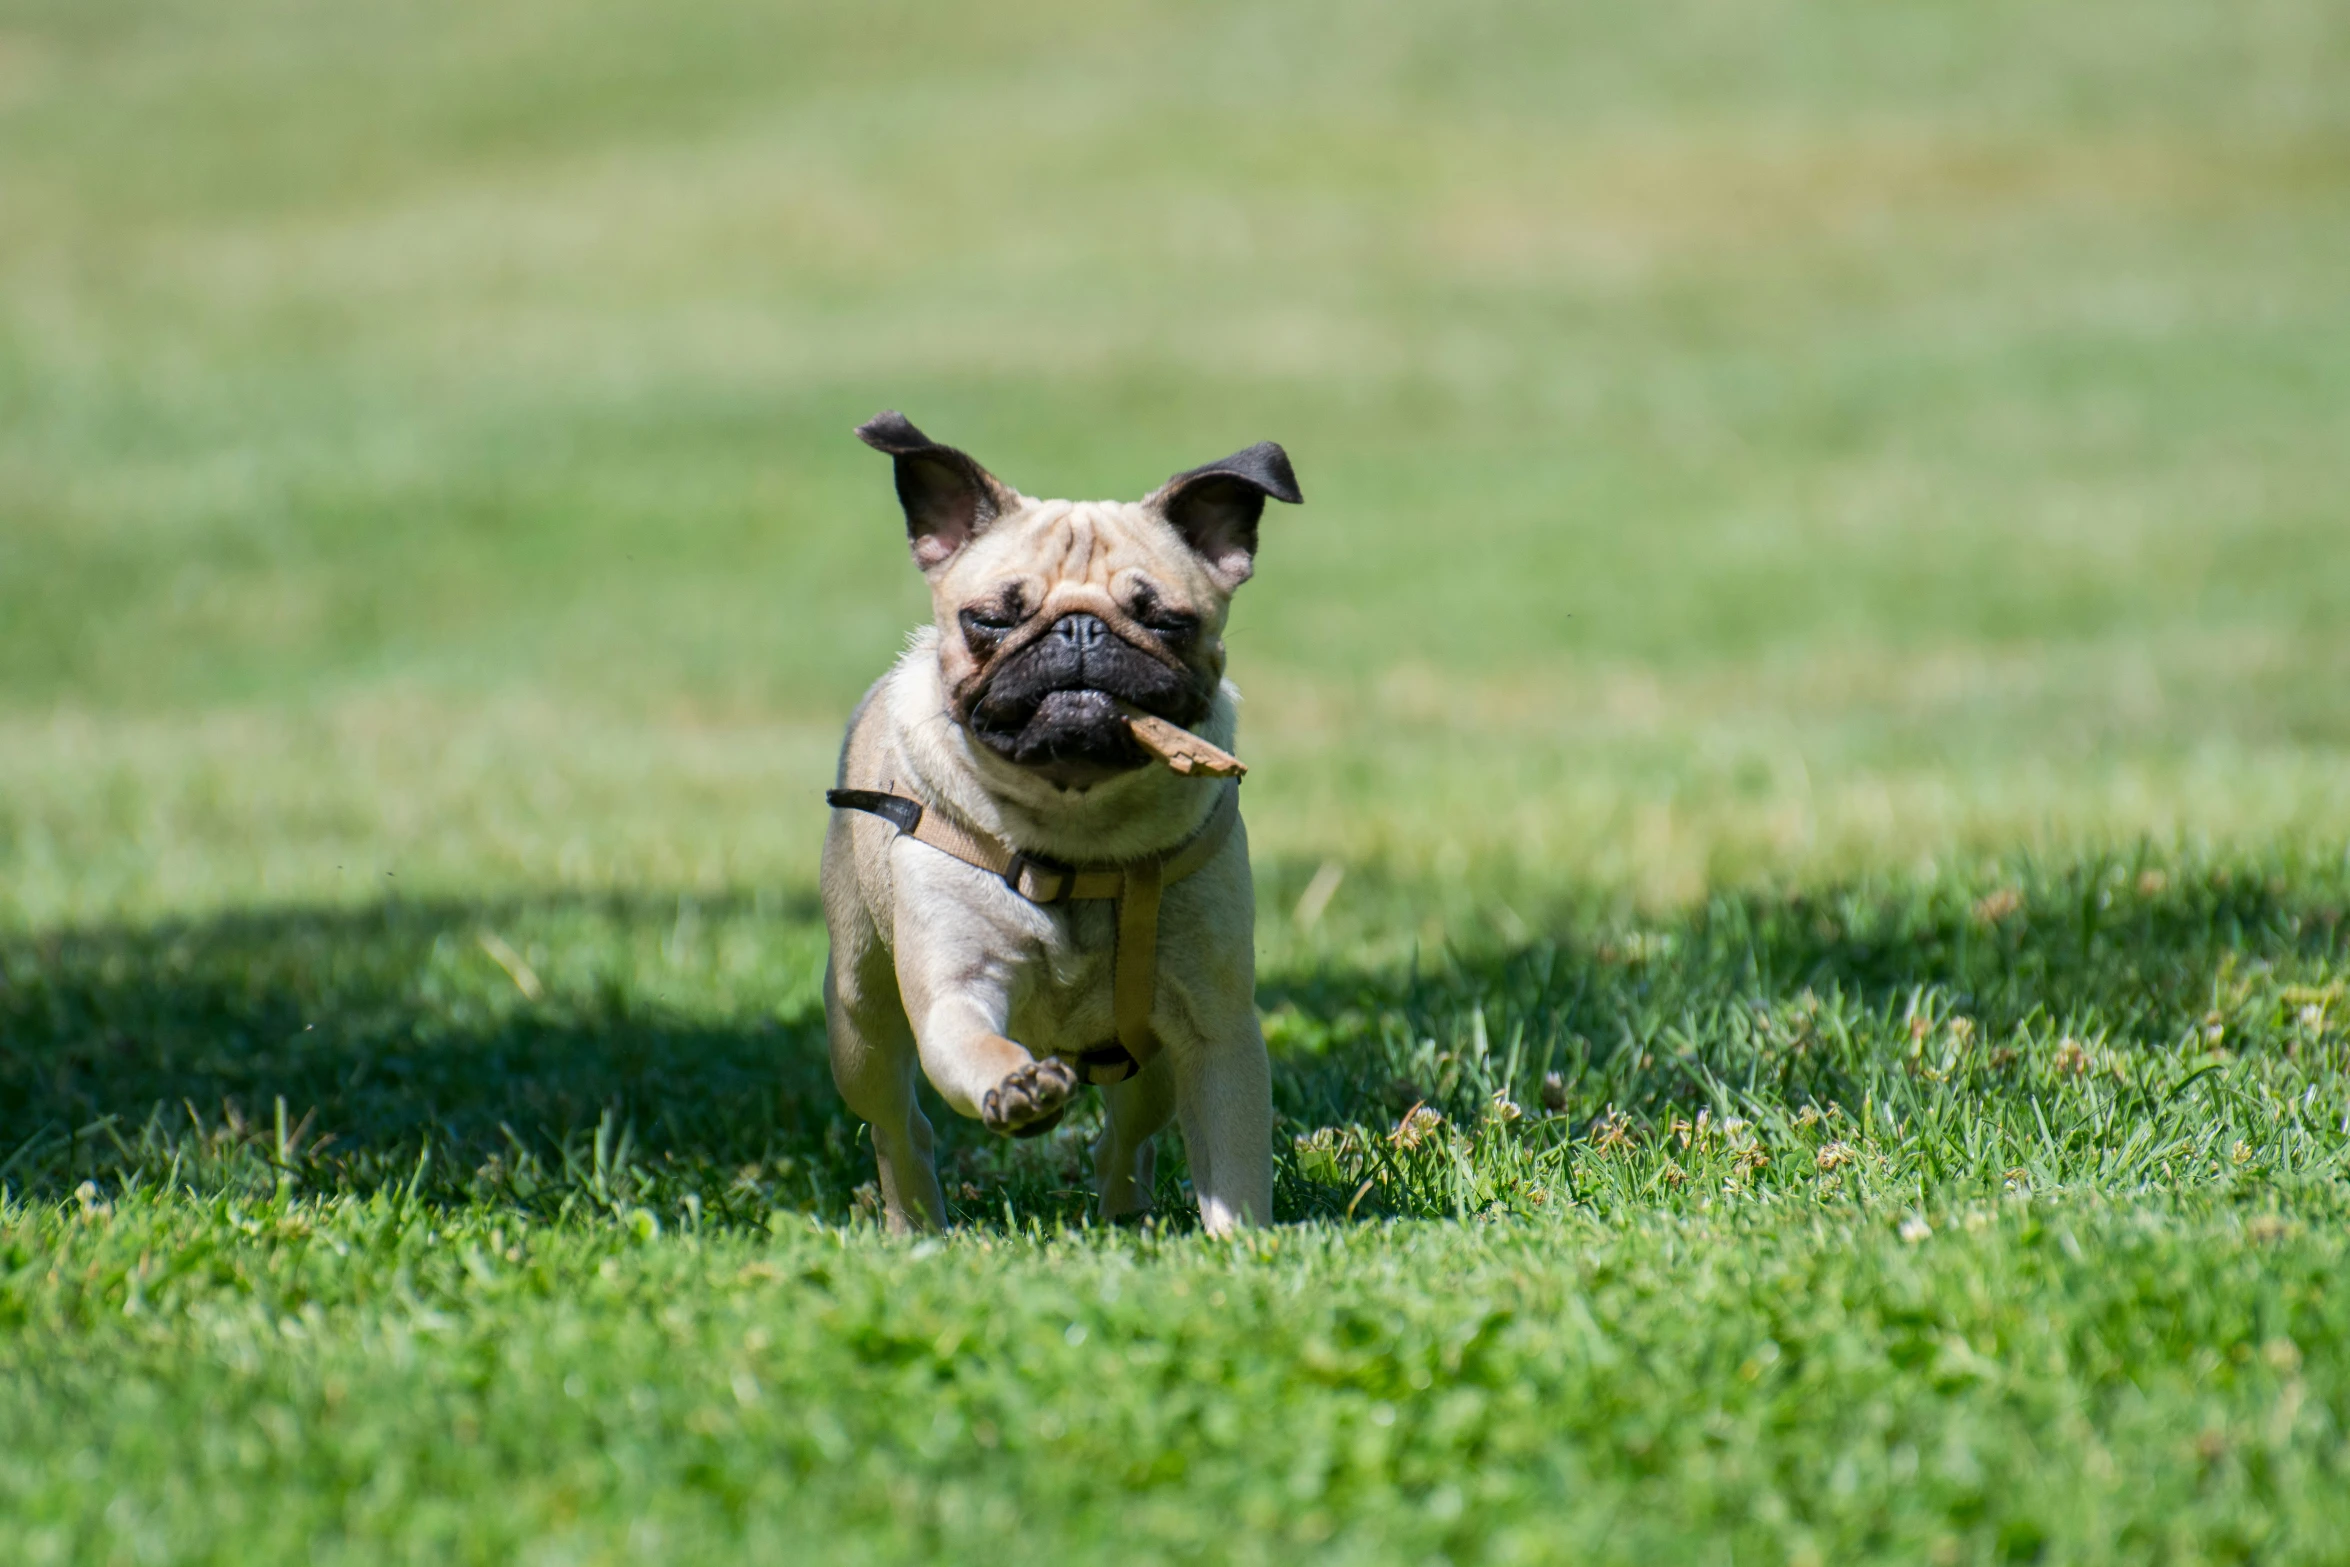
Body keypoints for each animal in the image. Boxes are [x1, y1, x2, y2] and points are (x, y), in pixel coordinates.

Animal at [822, 413, 1306, 1240]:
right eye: (990, 619)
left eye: (1168, 622)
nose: (1079, 631)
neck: (1077, 832)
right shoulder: (956, 992)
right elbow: (975, 1043)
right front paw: (1016, 1088)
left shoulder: (1217, 1033)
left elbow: (1235, 1161)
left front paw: (1240, 1245)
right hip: (861, 1027)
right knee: (899, 1127)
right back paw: (916, 1222)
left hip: (1148, 1065)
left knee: (1126, 1134)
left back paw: (1125, 1212)